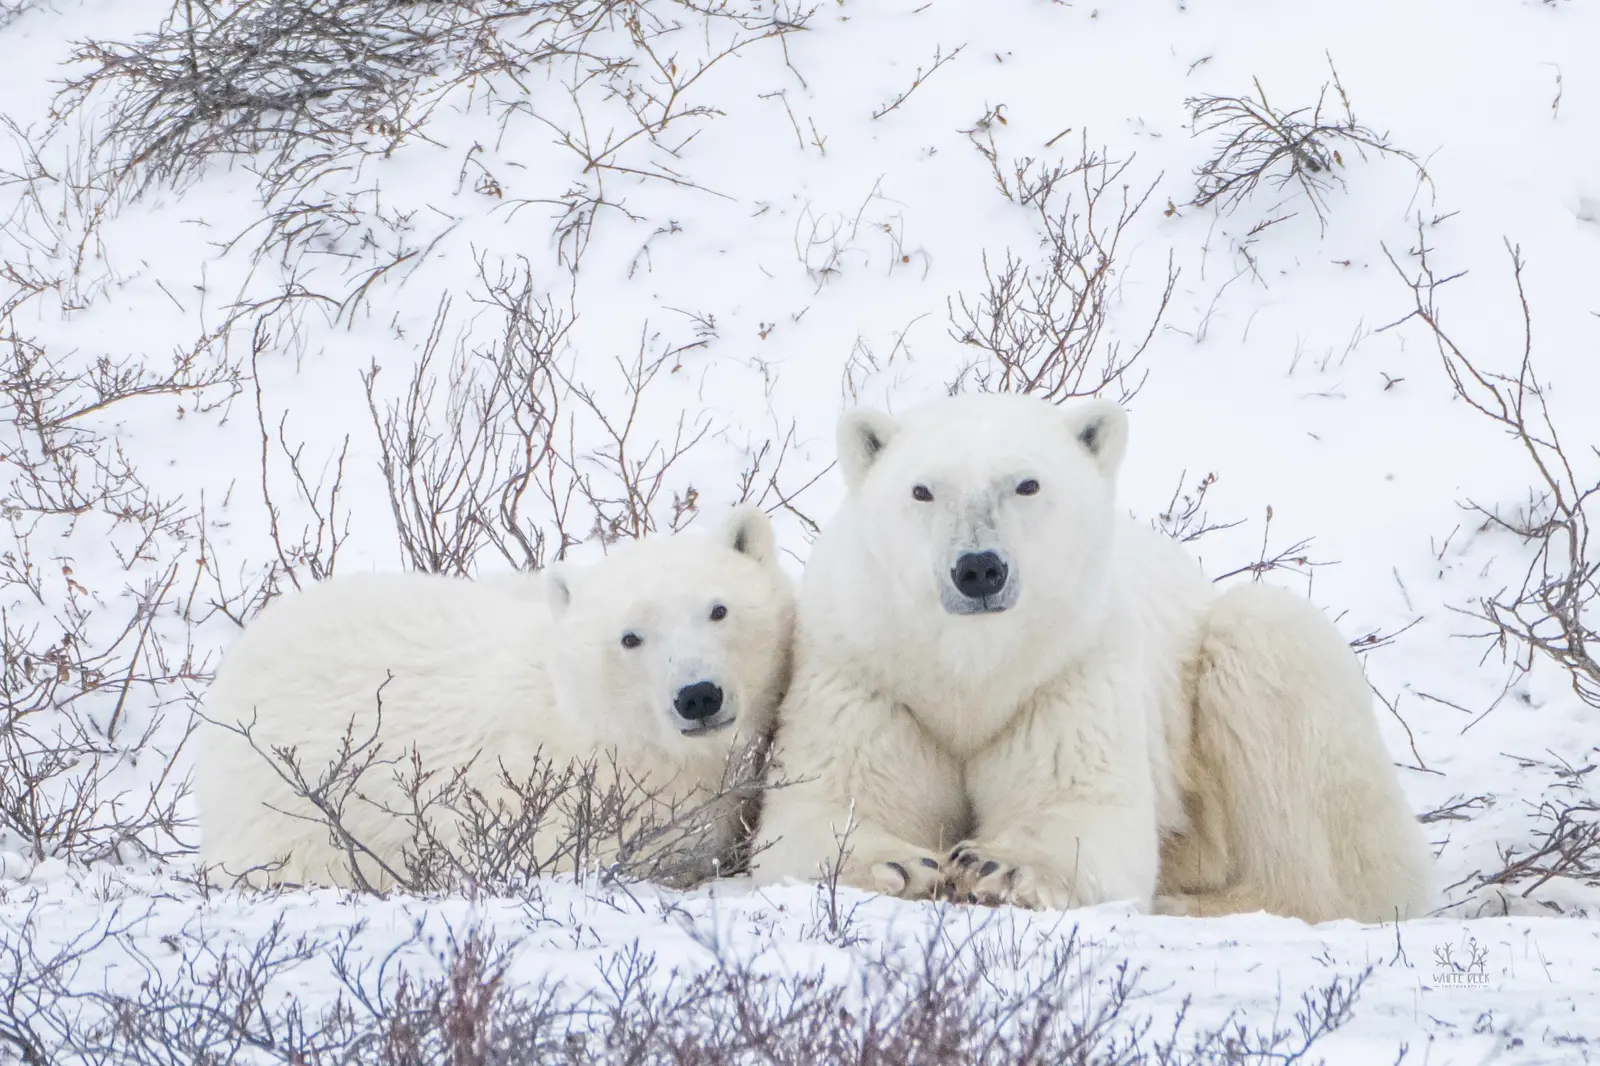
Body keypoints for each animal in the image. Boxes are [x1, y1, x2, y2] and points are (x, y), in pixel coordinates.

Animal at [750, 392, 1433, 924]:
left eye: (1027, 483)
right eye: (922, 490)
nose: (979, 569)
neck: (970, 671)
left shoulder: (1070, 668)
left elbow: (1086, 809)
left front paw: (996, 864)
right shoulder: (865, 672)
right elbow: (819, 806)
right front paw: (902, 864)